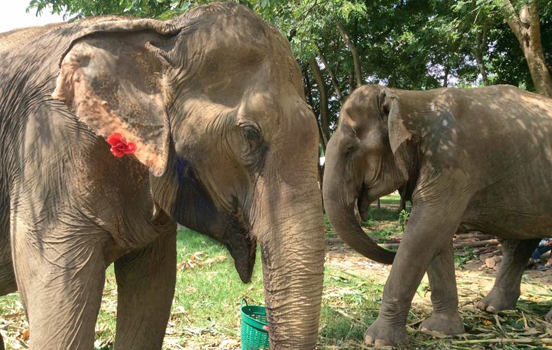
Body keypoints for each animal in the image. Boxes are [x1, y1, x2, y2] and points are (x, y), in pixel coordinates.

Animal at [324, 85, 552, 348]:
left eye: (350, 149)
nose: (390, 249)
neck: (408, 97)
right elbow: (436, 238)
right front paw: (438, 331)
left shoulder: (451, 163)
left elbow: (424, 233)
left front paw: (377, 341)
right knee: (521, 241)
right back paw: (490, 308)